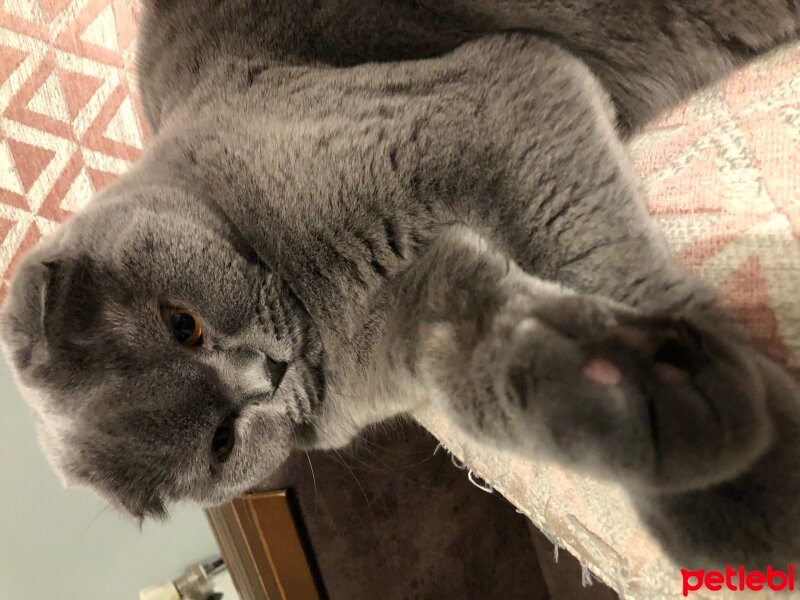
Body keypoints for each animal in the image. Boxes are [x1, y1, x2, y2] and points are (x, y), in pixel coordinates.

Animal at [1, 0, 800, 568]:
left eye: (182, 323)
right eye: (222, 444)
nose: (268, 374)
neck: (321, 304)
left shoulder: (479, 103)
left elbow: (588, 249)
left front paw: (732, 478)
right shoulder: (420, 320)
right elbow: (474, 359)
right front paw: (610, 391)